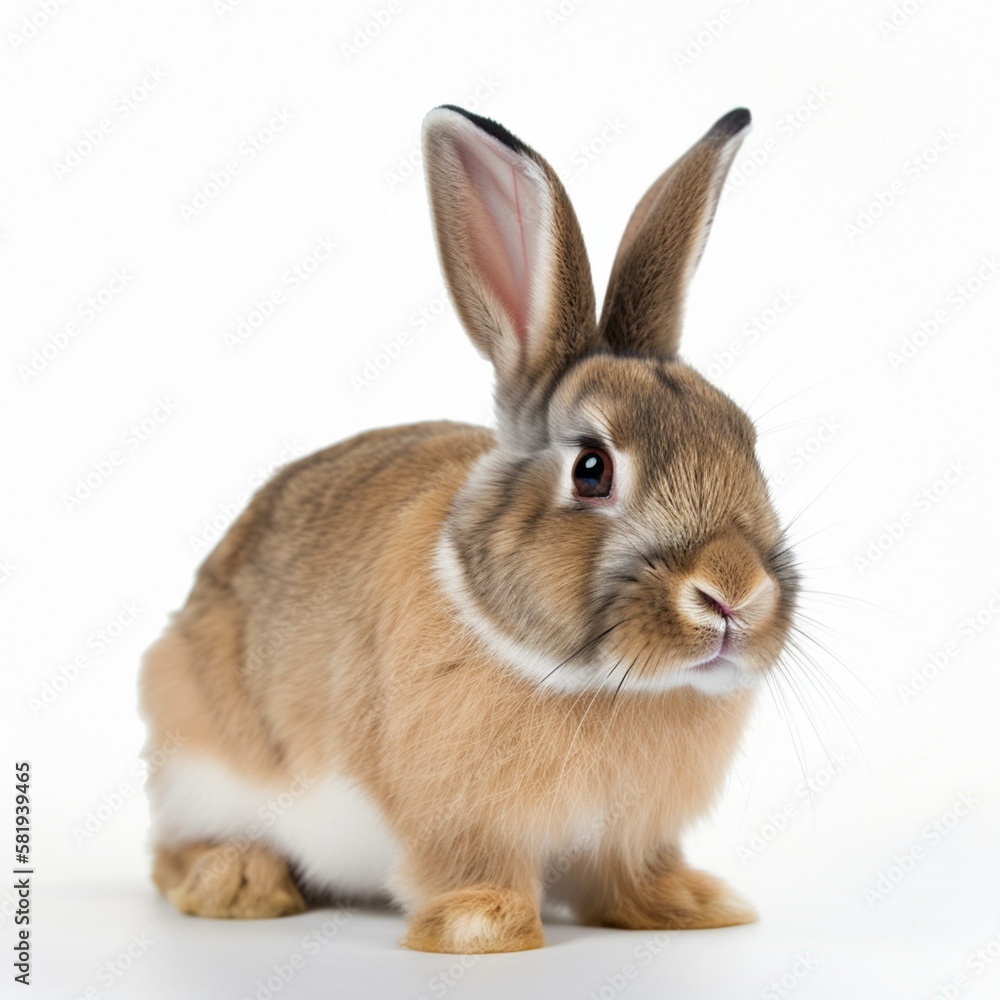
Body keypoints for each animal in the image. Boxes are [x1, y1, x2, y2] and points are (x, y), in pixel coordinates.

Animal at [139, 104, 799, 954]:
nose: (734, 593)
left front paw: (691, 905)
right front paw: (480, 927)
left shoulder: (631, 833)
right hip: (204, 760)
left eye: (745, 441)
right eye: (592, 468)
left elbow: (630, 872)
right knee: (172, 853)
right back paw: (240, 884)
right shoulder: (458, 818)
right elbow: (471, 865)